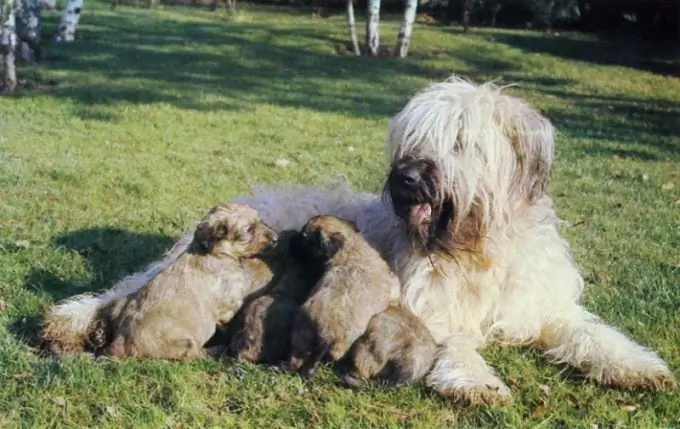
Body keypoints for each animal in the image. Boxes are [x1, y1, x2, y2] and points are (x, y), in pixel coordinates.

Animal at [286, 214, 402, 378]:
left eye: (304, 238)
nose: (289, 240)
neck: (352, 248)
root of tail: (325, 335)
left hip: (300, 333)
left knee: (297, 359)